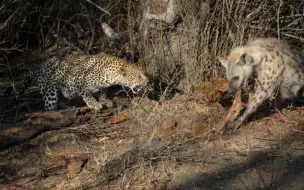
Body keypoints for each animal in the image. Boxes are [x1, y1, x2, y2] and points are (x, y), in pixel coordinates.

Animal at [17, 52, 149, 111]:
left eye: (144, 74)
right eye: (138, 76)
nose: (148, 81)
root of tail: (39, 66)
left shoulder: (103, 86)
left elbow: (103, 92)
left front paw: (105, 100)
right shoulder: (79, 81)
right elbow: (87, 94)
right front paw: (94, 103)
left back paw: (65, 106)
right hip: (50, 91)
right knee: (48, 107)